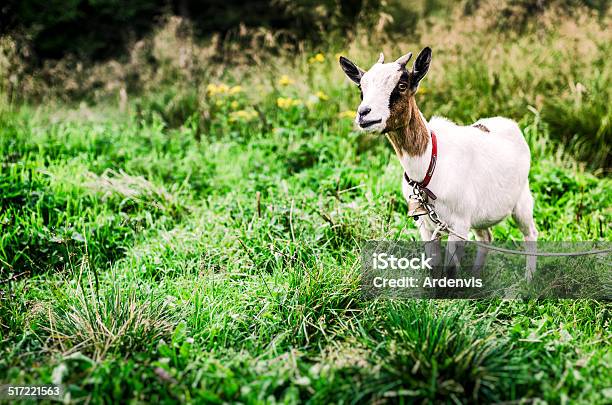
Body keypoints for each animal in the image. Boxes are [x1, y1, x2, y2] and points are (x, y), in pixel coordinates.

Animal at [340, 47, 540, 278]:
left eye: (402, 85)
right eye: (361, 89)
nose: (364, 113)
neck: (428, 166)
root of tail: (506, 123)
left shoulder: (459, 225)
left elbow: (450, 270)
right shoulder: (426, 225)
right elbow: (433, 265)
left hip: (522, 199)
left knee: (530, 233)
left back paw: (528, 279)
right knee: (486, 237)